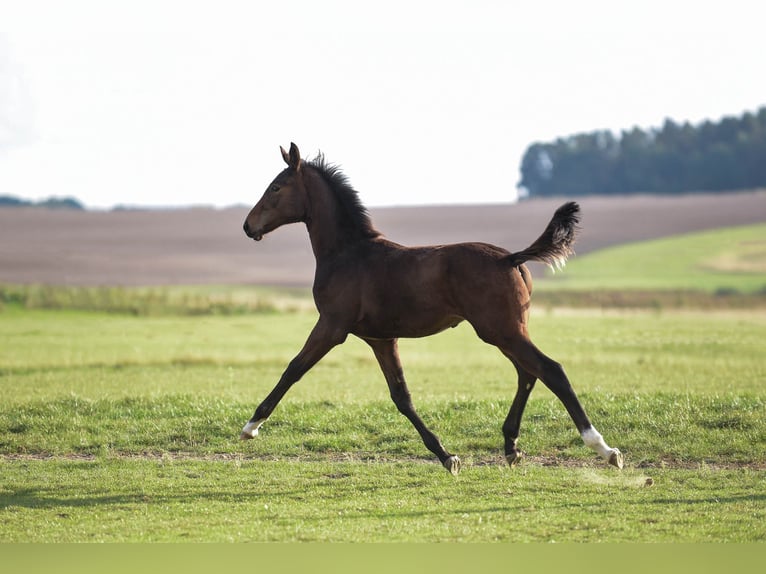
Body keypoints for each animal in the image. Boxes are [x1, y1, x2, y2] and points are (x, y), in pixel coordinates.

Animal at [240, 143, 623, 475]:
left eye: (276, 187)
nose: (247, 226)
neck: (346, 253)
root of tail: (510, 258)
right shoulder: (381, 339)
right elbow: (401, 396)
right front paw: (447, 456)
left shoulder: (332, 326)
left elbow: (293, 369)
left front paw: (251, 426)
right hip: (506, 330)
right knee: (528, 373)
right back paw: (511, 446)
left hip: (500, 329)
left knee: (550, 369)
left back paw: (604, 449)